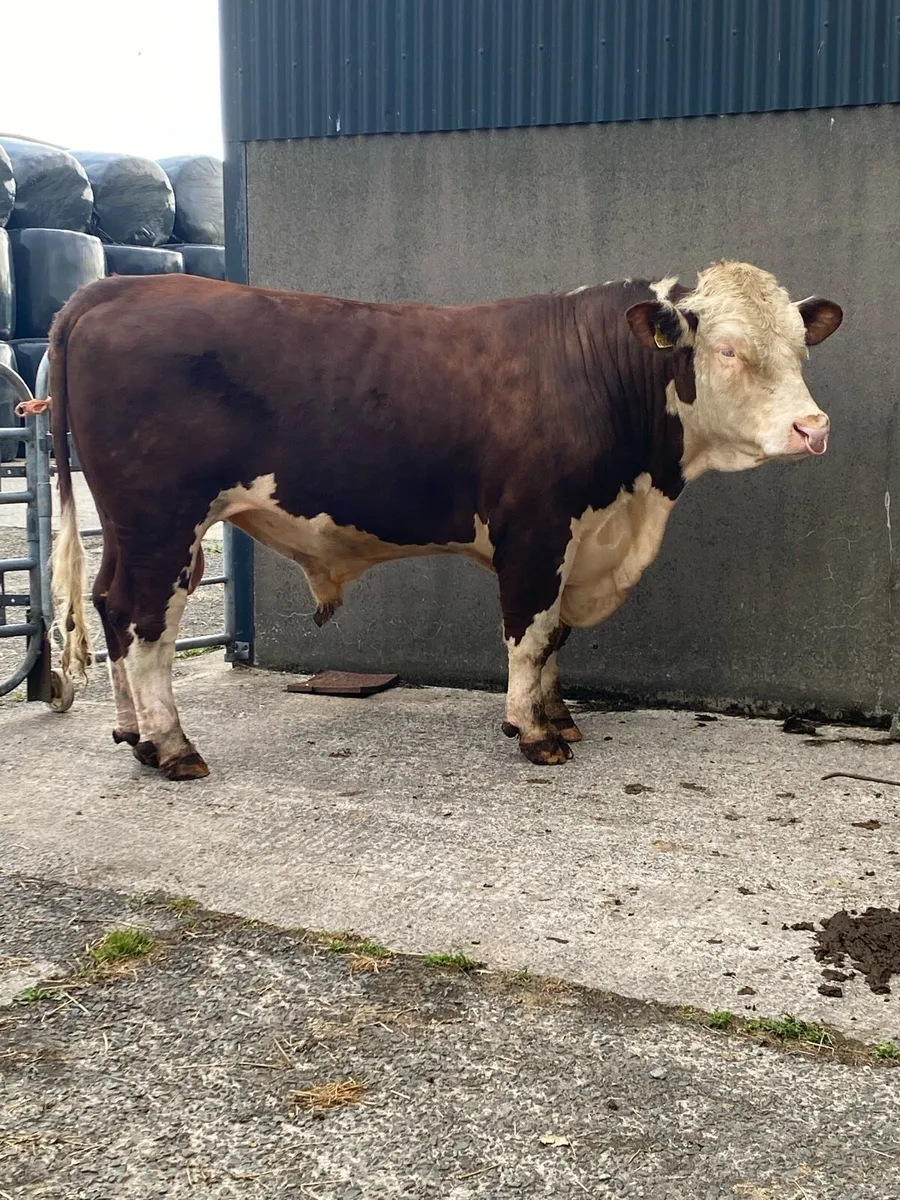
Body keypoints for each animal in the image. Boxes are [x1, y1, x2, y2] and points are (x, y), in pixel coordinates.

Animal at [45, 261, 841, 780]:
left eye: (801, 348)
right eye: (728, 348)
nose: (813, 428)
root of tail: (115, 286)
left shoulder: (581, 537)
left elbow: (556, 636)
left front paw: (558, 714)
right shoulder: (538, 530)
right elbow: (532, 633)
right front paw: (533, 732)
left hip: (131, 526)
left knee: (110, 606)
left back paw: (134, 735)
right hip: (163, 518)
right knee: (146, 622)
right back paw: (173, 747)